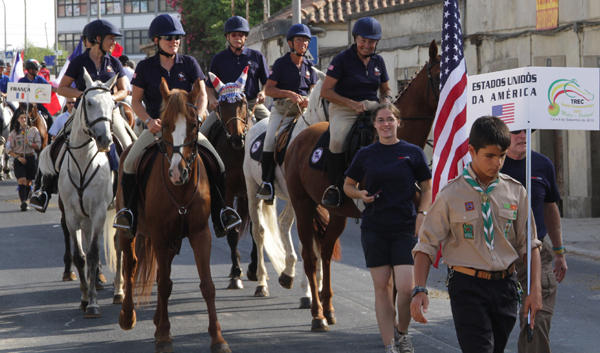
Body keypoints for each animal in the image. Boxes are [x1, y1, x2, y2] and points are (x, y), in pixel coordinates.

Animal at [39, 68, 119, 316]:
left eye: (113, 103)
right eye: (90, 102)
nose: (104, 139)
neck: (84, 162)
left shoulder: (99, 212)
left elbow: (92, 255)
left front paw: (93, 303)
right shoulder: (73, 214)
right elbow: (80, 256)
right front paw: (84, 297)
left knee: (120, 247)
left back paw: (120, 291)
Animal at [118, 77, 231, 352]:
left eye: (194, 125)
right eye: (165, 124)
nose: (177, 173)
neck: (180, 189)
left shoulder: (200, 234)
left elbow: (206, 285)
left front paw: (217, 338)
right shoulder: (159, 235)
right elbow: (164, 285)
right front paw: (165, 338)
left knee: (161, 271)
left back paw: (158, 322)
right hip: (130, 232)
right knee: (131, 265)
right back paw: (128, 317)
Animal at [244, 69, 328, 306]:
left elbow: (317, 240)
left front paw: (317, 286)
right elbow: (303, 241)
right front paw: (305, 290)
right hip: (252, 189)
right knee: (260, 232)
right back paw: (262, 282)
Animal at [284, 40, 438, 332]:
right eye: (439, 72)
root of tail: (297, 139)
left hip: (337, 215)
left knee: (326, 253)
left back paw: (329, 309)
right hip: (302, 206)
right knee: (310, 258)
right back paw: (317, 315)